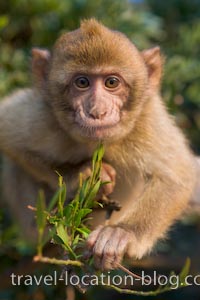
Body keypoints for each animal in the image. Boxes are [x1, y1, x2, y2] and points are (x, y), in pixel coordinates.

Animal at [0, 19, 197, 270]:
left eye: (111, 82)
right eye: (82, 82)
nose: (97, 111)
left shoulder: (147, 120)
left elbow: (178, 177)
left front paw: (122, 233)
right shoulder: (41, 115)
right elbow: (8, 136)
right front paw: (83, 175)